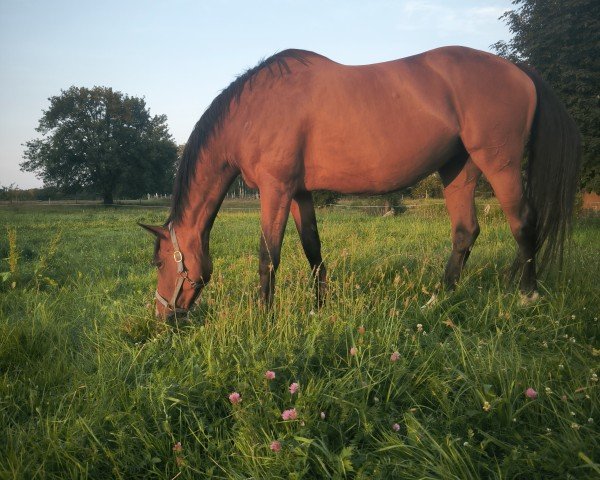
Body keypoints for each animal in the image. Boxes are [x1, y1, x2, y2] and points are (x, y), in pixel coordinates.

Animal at [141, 46, 580, 318]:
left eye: (160, 261)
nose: (164, 316)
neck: (253, 111)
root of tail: (518, 70)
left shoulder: (275, 189)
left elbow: (268, 255)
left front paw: (264, 318)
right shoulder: (299, 192)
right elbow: (313, 250)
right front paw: (320, 308)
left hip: (499, 163)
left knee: (523, 223)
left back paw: (526, 296)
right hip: (458, 170)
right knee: (465, 232)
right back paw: (438, 300)